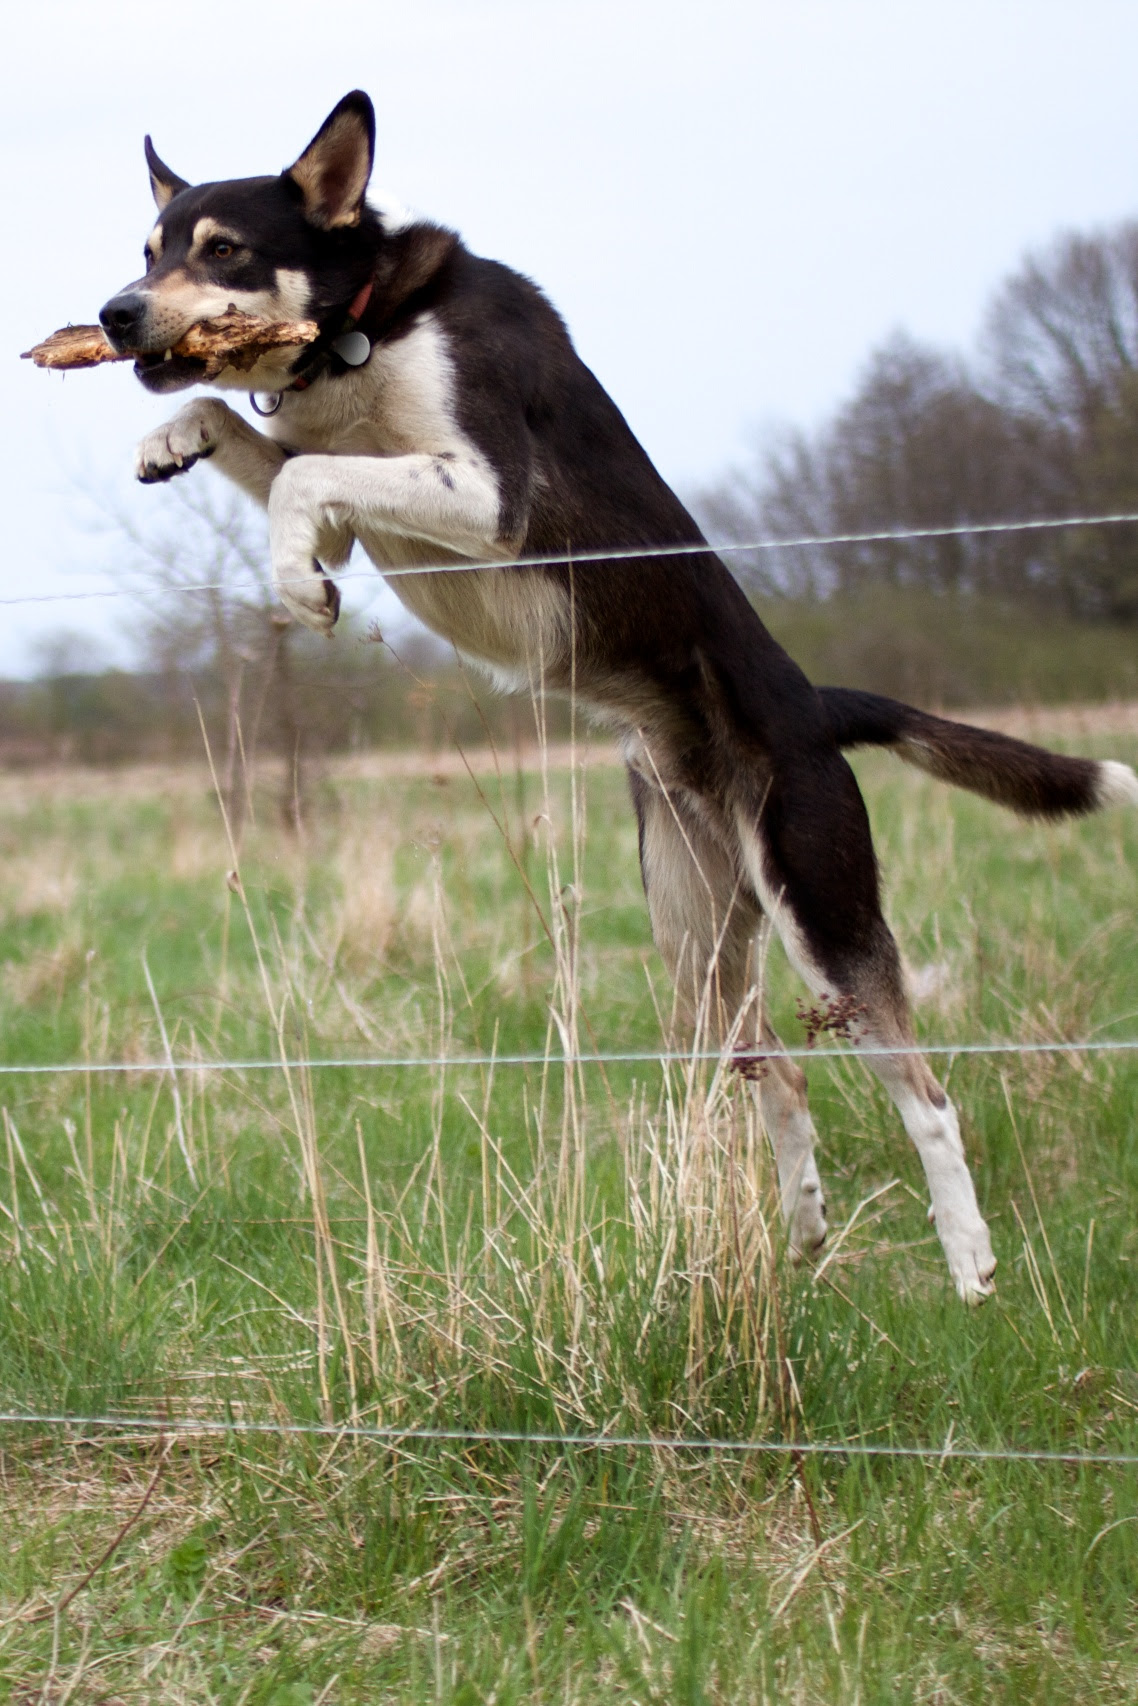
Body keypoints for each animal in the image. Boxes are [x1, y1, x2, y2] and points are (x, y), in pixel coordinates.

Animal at [100, 93, 1138, 1303]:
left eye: (222, 250)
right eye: (149, 251)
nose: (113, 315)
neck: (365, 326)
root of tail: (813, 704)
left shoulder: (484, 492)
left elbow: (306, 476)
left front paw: (294, 585)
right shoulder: (369, 507)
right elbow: (256, 441)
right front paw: (175, 438)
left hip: (818, 906)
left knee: (927, 1096)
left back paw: (969, 1262)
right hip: (696, 939)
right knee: (781, 1075)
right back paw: (799, 1241)